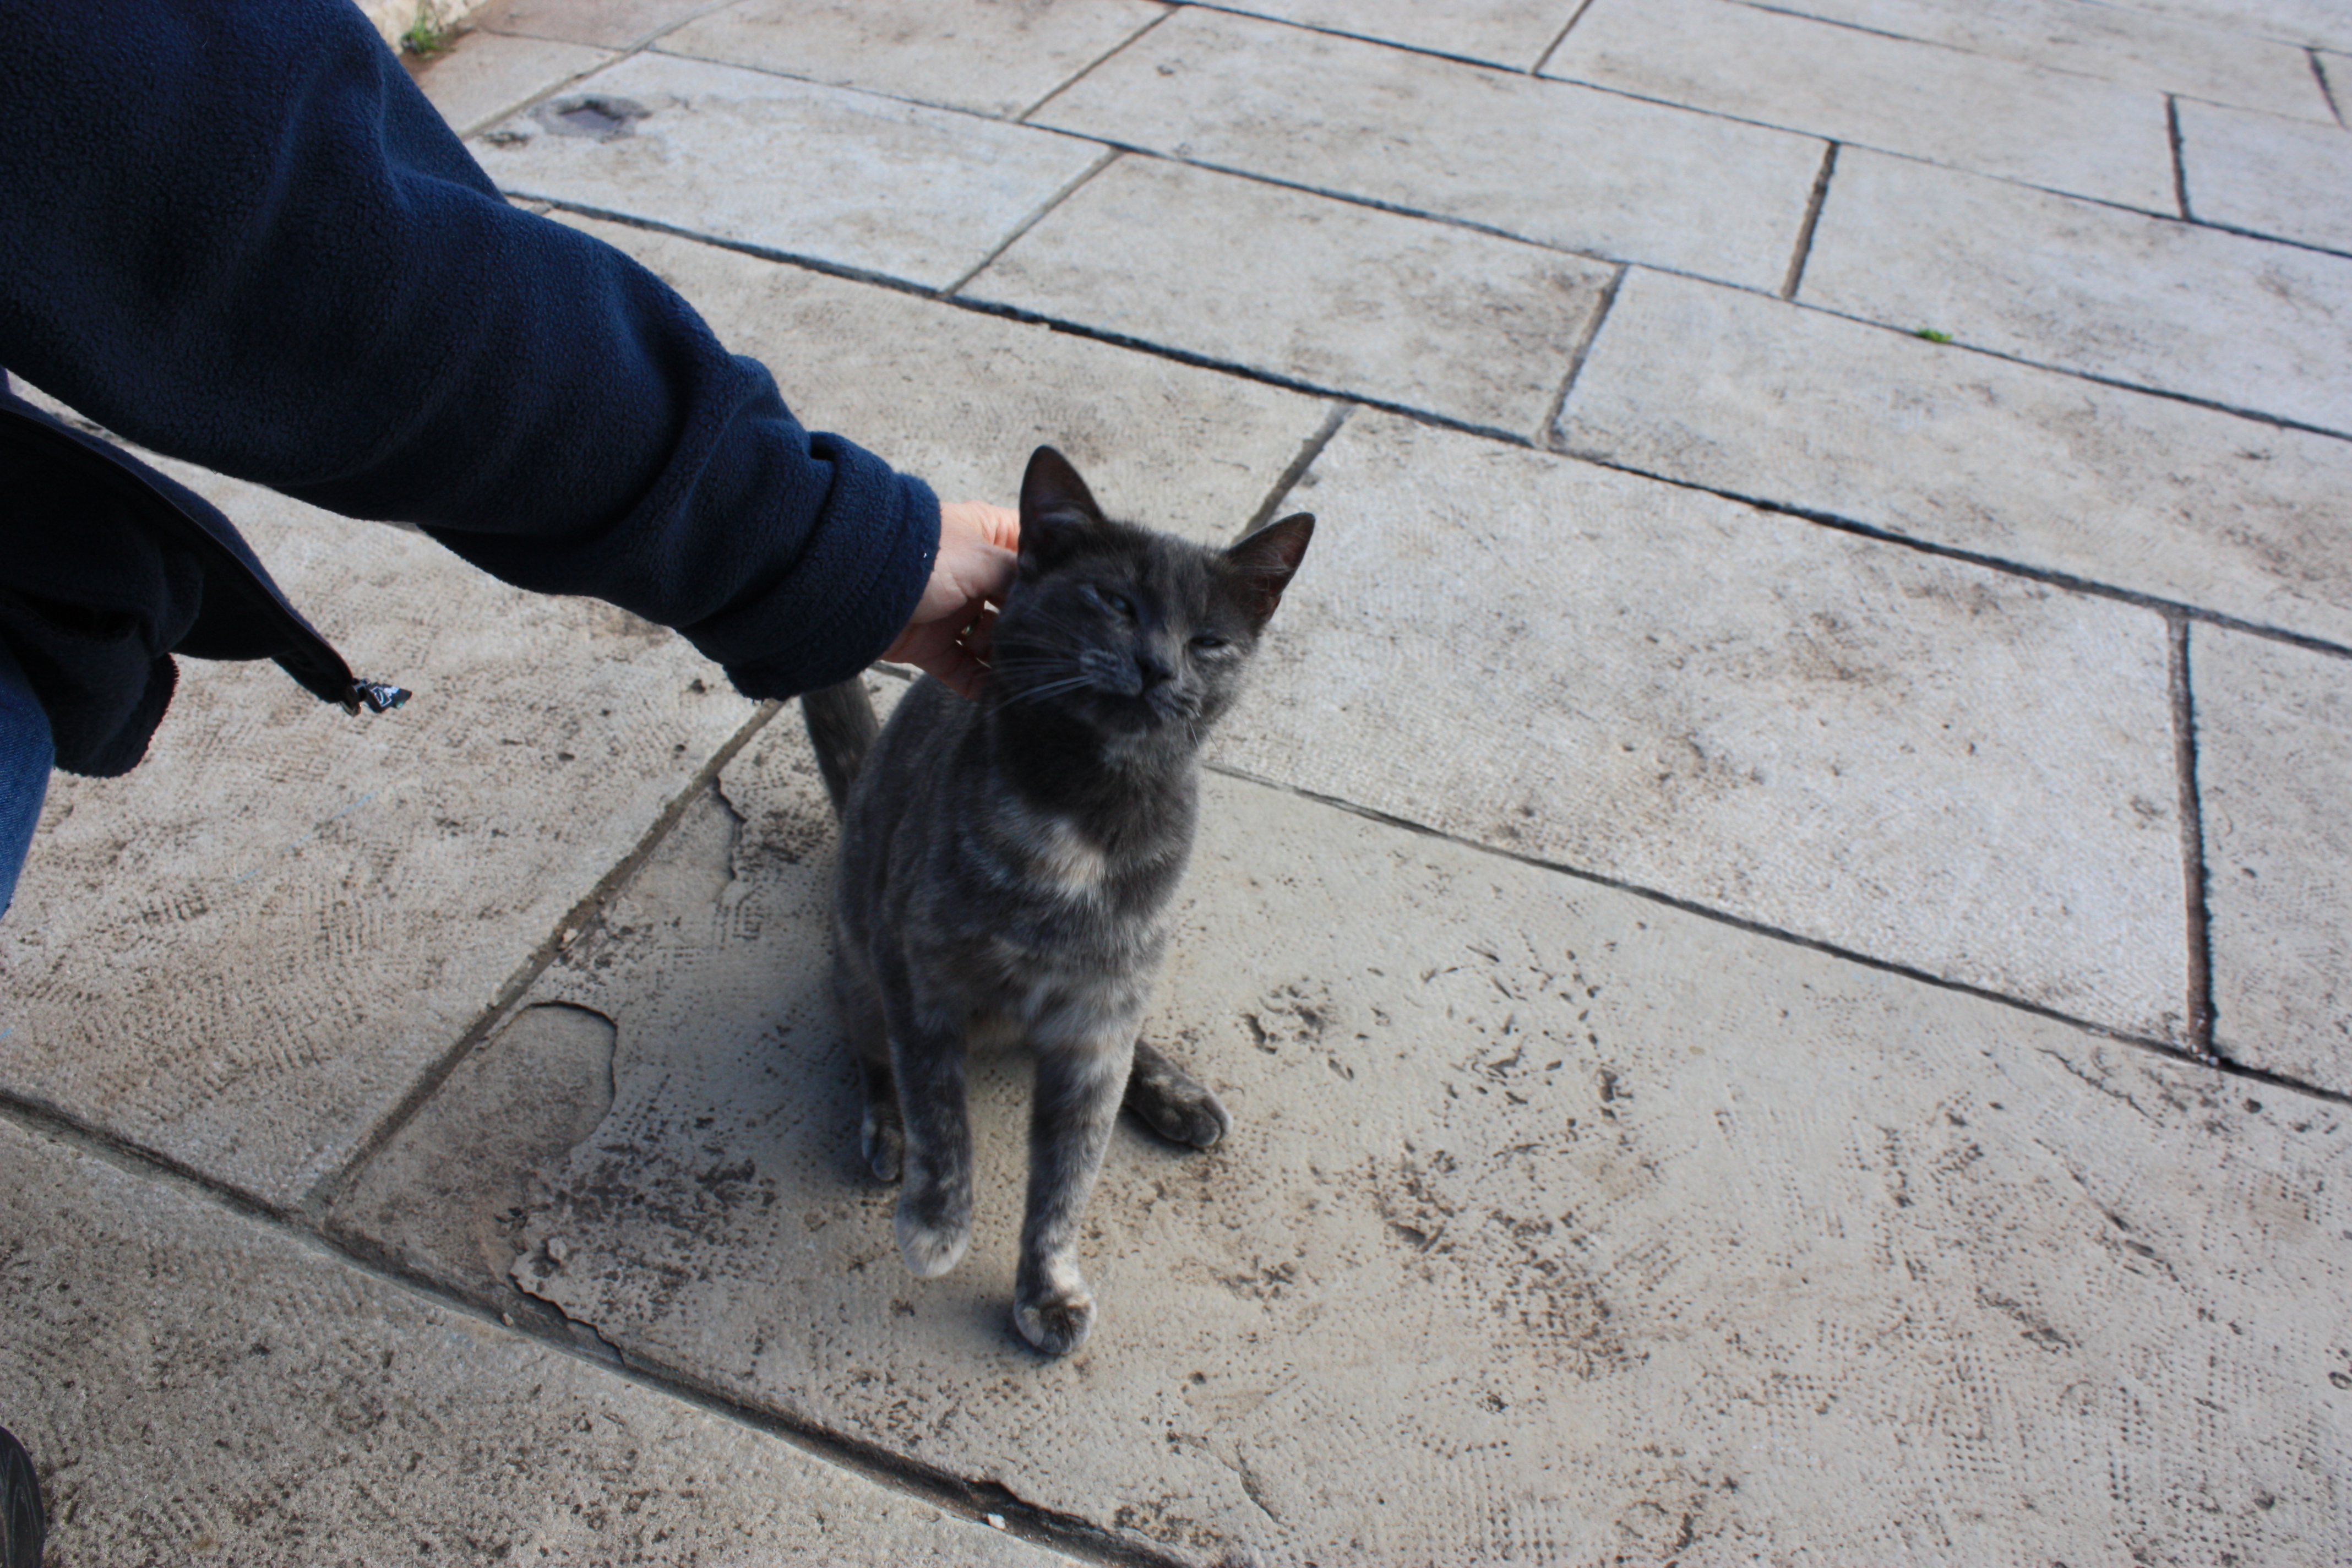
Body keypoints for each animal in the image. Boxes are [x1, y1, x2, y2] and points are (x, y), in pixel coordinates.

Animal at [800, 445, 1312, 1356]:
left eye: (1209, 641)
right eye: (1116, 602)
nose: (1159, 665)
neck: (1089, 811)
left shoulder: (1100, 1018)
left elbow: (1069, 1175)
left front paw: (1048, 1289)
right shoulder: (920, 975)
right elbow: (940, 1112)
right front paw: (937, 1222)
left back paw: (1175, 1092)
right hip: (859, 963)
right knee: (872, 1058)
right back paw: (884, 1131)